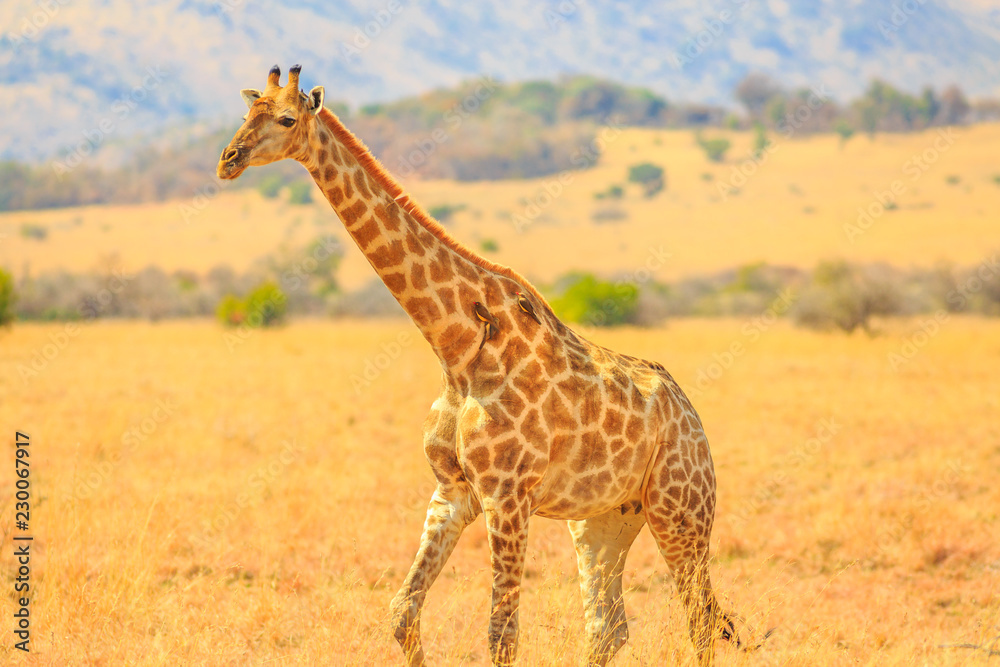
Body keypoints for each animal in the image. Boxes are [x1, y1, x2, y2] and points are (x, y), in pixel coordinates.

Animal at [217, 65, 744, 666]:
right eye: (246, 113)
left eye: (286, 119)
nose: (228, 159)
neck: (455, 349)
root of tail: (690, 413)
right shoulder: (453, 490)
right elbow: (402, 612)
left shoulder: (507, 496)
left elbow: (501, 634)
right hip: (604, 518)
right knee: (609, 626)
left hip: (681, 509)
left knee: (699, 620)